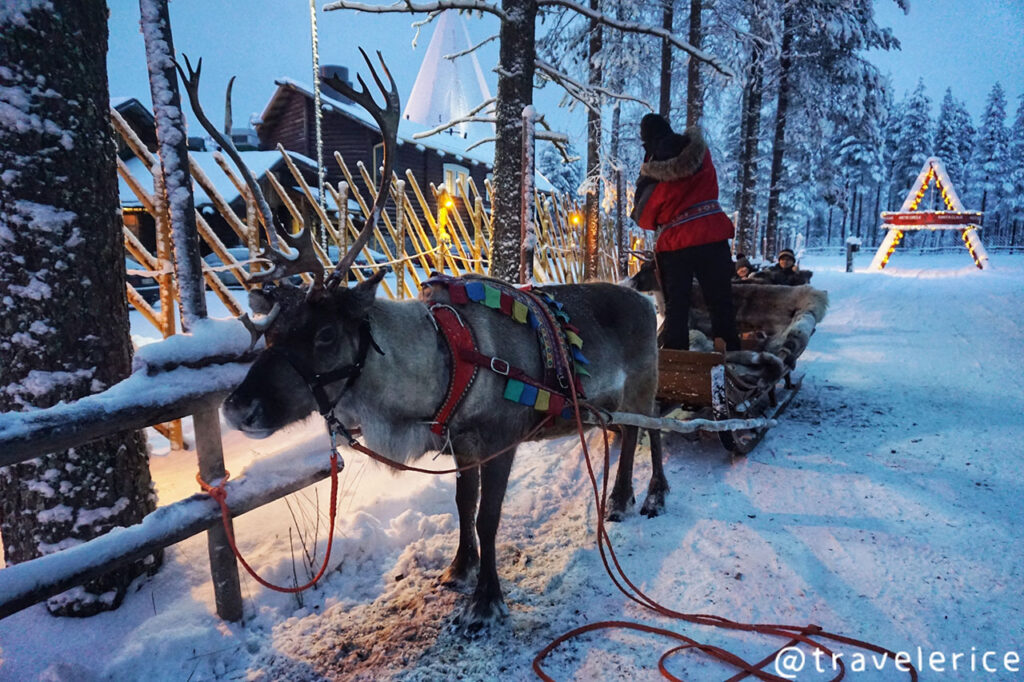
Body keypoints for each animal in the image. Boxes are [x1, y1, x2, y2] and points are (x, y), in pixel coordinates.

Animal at [179, 50, 668, 630]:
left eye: (325, 333)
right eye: (271, 331)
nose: (238, 408)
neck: (443, 367)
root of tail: (643, 299)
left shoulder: (500, 438)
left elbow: (488, 517)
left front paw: (486, 599)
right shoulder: (463, 445)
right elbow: (462, 508)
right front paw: (458, 570)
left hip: (643, 381)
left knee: (652, 428)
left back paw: (646, 496)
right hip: (607, 403)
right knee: (630, 432)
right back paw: (622, 497)